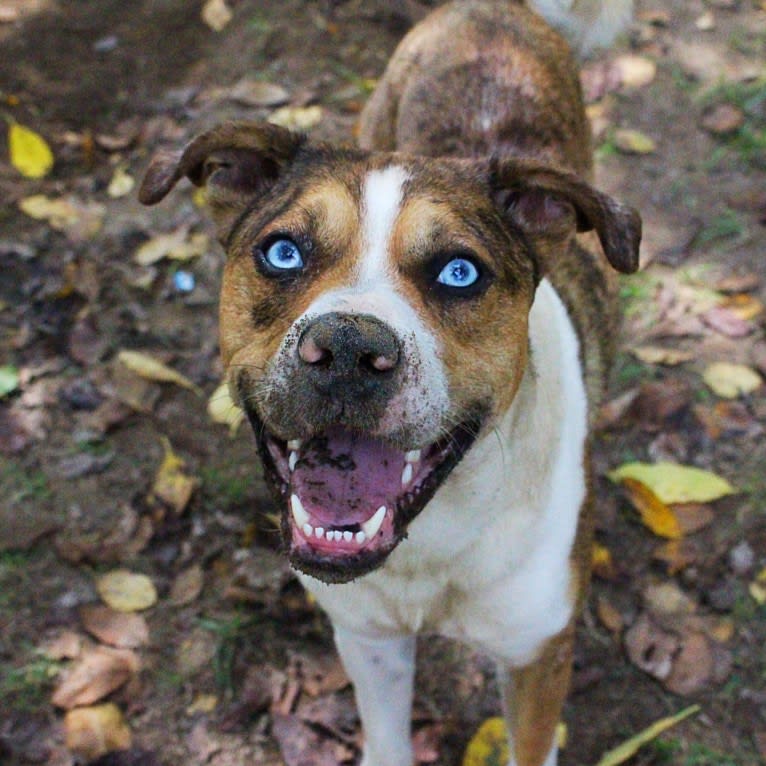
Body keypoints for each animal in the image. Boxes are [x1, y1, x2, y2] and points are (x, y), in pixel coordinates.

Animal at [140, 3, 640, 764]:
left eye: (460, 272)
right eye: (281, 252)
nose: (349, 348)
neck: (429, 539)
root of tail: (493, 12)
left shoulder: (538, 657)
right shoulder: (369, 640)